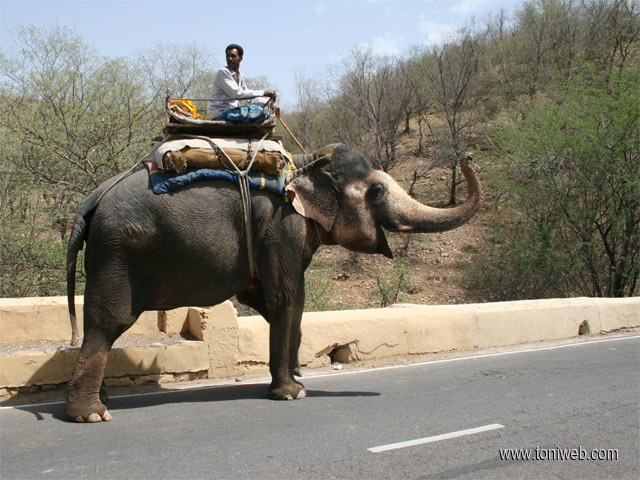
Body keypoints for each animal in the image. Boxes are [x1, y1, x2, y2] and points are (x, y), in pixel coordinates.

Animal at [64, 143, 483, 422]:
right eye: (377, 191)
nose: (468, 156)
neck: (305, 165)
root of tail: (92, 200)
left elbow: (269, 300)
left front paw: (297, 374)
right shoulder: (281, 226)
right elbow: (287, 298)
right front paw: (293, 393)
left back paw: (101, 402)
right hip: (118, 252)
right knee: (107, 322)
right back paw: (91, 414)